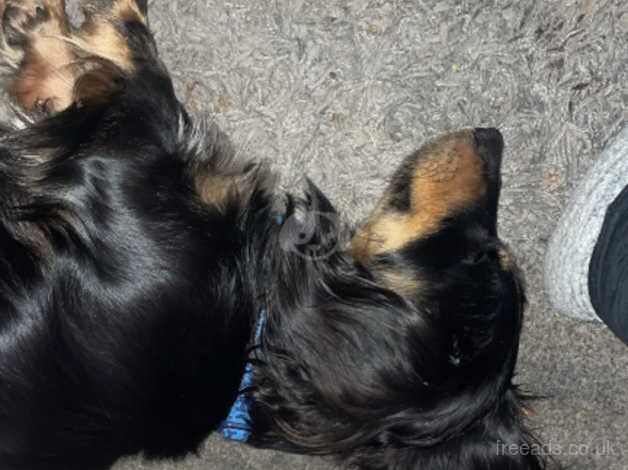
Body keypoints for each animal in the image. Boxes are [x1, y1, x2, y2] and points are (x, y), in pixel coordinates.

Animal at [0, 0, 544, 470]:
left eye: (483, 257)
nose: (493, 138)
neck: (254, 329)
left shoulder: (123, 170)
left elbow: (142, 75)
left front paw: (73, 19)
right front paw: (35, 29)